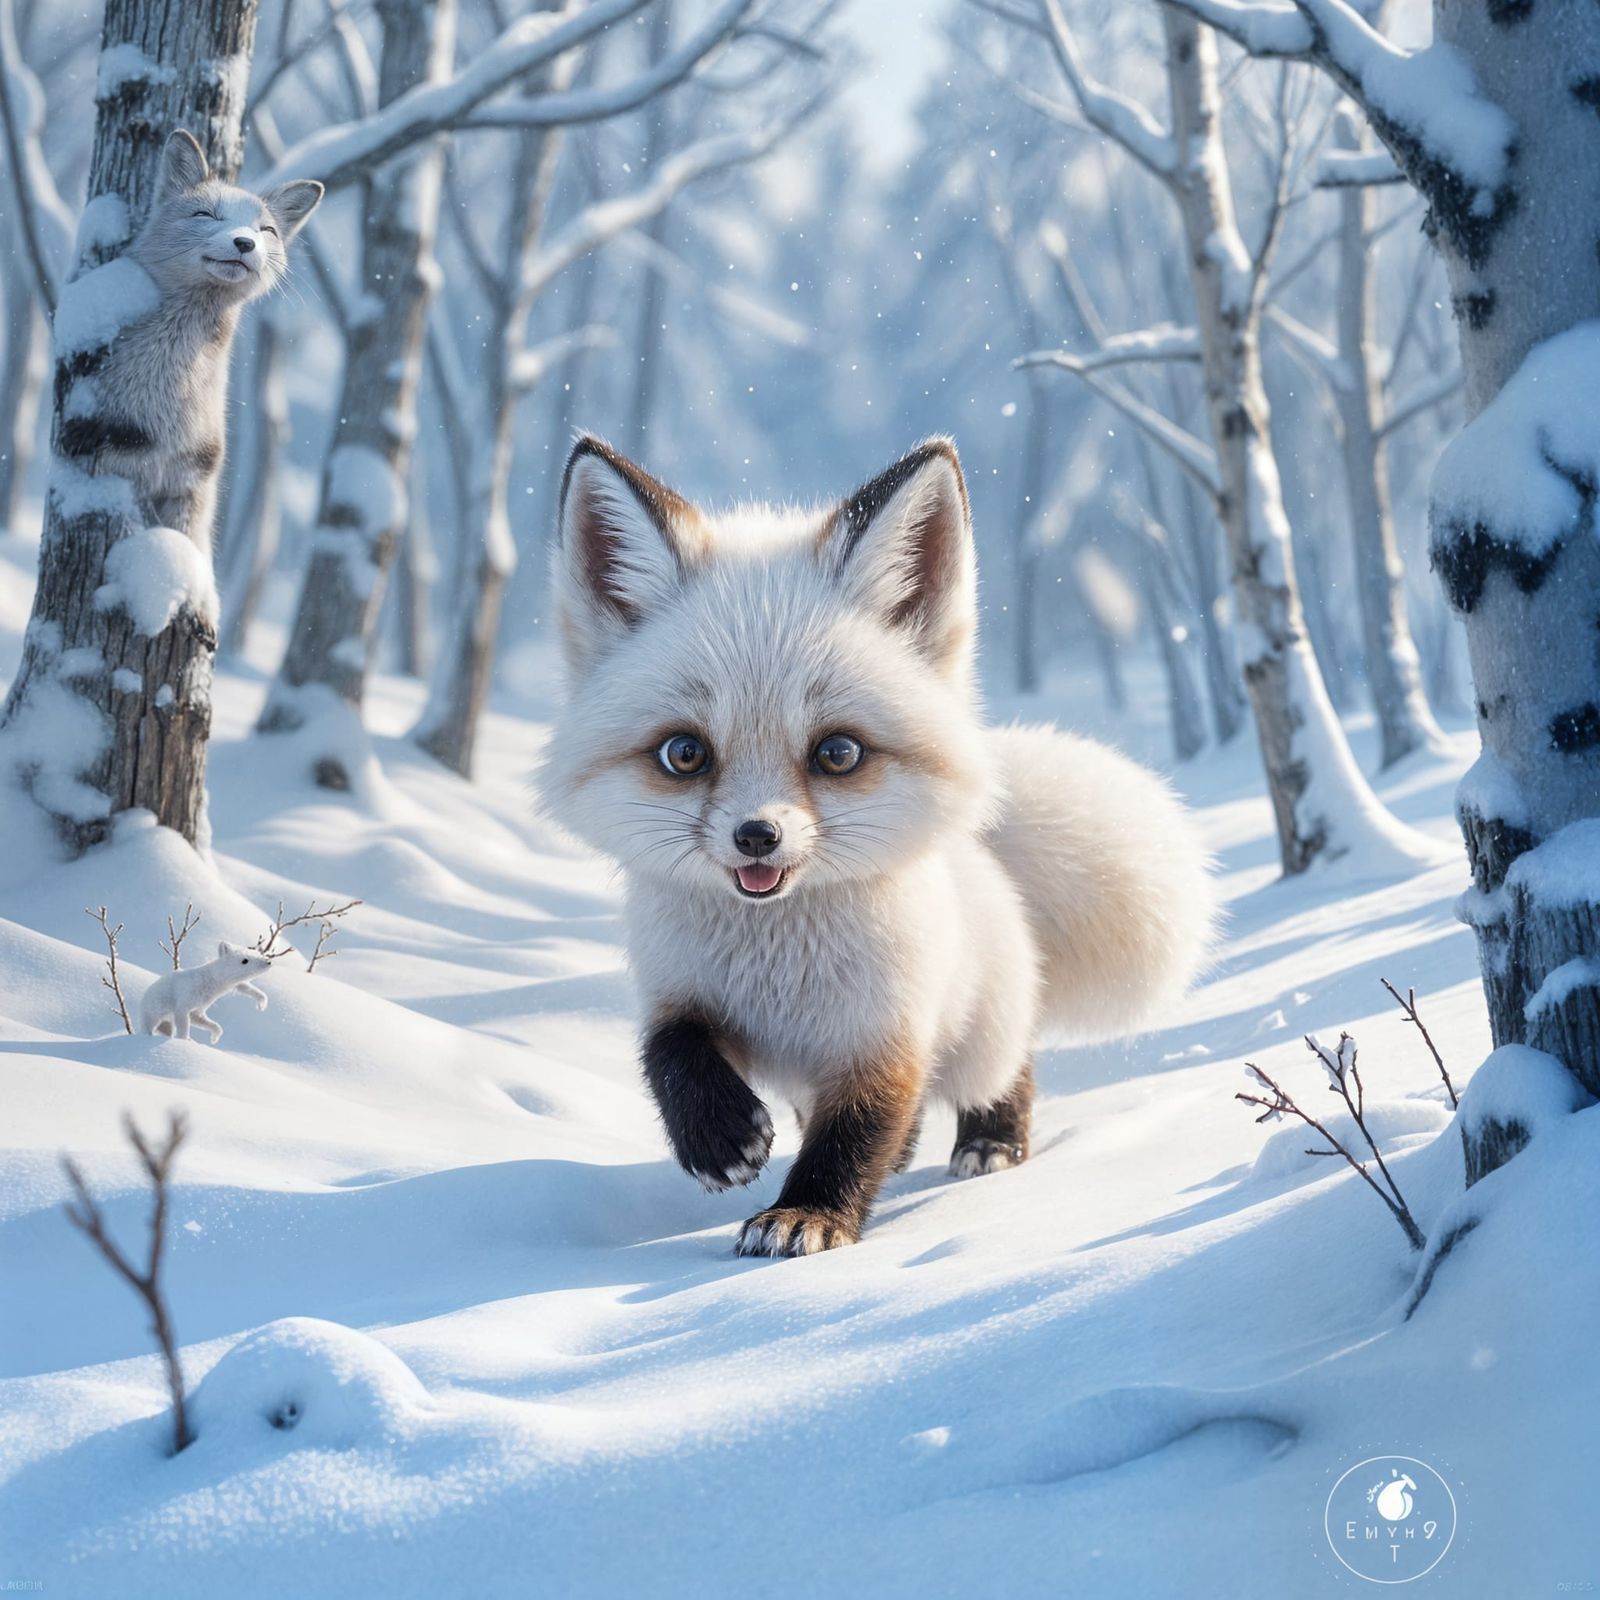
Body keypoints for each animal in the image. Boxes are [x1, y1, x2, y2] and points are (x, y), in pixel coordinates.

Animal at [56, 129, 322, 543]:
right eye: (205, 214)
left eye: (267, 231)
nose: (245, 243)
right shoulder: (120, 456)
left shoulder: (194, 482)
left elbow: (194, 549)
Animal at [539, 435, 1217, 1257]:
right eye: (685, 754)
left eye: (837, 754)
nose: (757, 837)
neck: (780, 970)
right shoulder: (679, 990)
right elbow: (669, 1050)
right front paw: (719, 1137)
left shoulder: (884, 1037)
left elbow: (855, 1133)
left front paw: (808, 1215)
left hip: (978, 1038)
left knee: (1002, 1073)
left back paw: (994, 1142)